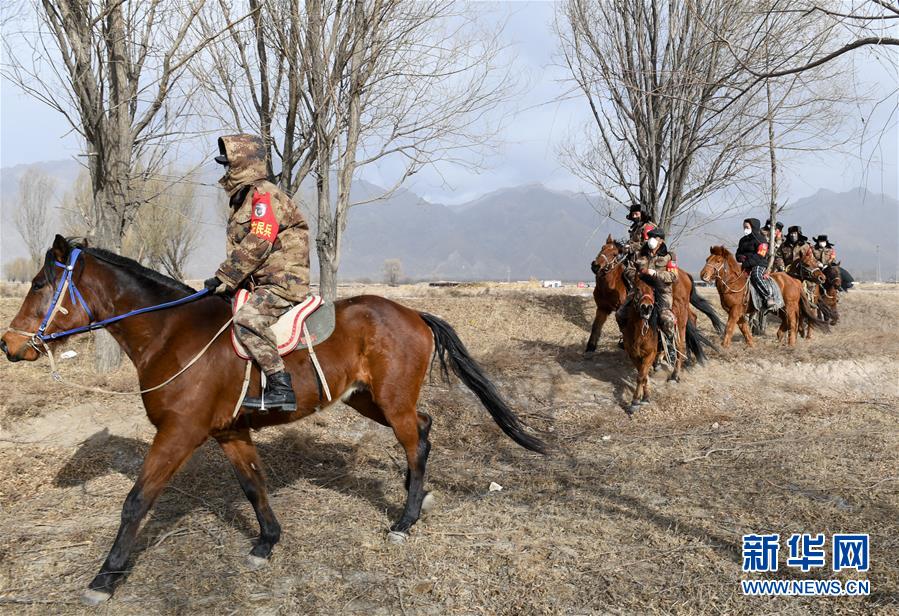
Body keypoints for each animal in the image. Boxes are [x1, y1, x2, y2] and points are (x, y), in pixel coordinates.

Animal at [0, 237, 544, 608]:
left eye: (40, 285)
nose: (9, 345)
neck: (170, 333)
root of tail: (411, 312)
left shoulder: (178, 435)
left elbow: (136, 501)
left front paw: (105, 578)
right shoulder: (229, 433)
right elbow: (253, 486)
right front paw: (266, 541)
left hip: (391, 402)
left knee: (415, 445)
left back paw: (405, 520)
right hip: (367, 400)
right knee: (426, 428)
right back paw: (420, 498)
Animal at [588, 235, 728, 354]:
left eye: (615, 254)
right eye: (602, 248)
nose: (595, 266)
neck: (611, 285)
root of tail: (685, 275)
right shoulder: (602, 308)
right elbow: (596, 326)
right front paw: (590, 347)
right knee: (692, 317)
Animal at [620, 274, 712, 414]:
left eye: (653, 291)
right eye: (637, 289)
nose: (646, 308)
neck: (640, 333)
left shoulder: (649, 354)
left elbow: (641, 376)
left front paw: (635, 401)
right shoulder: (634, 355)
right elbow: (644, 375)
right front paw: (645, 397)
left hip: (680, 330)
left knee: (680, 351)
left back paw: (674, 376)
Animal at [696, 247, 828, 352]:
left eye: (718, 261)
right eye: (707, 260)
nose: (703, 275)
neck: (733, 283)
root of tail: (794, 280)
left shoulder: (735, 310)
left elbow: (729, 327)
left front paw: (724, 346)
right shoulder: (738, 312)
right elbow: (744, 328)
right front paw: (751, 345)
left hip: (790, 307)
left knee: (793, 323)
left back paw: (791, 344)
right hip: (781, 309)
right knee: (787, 323)